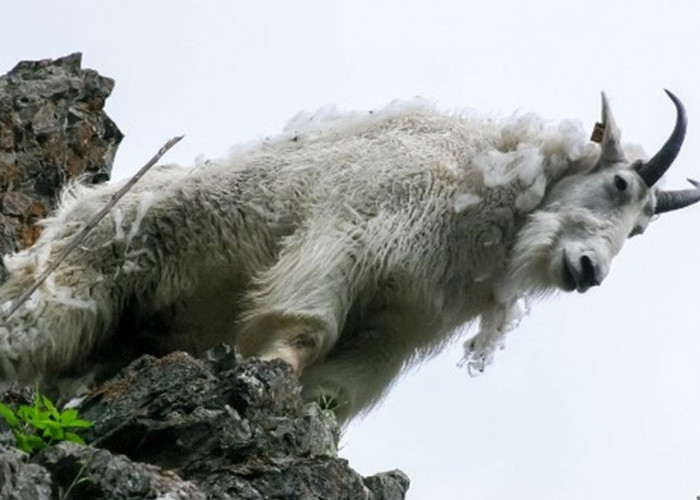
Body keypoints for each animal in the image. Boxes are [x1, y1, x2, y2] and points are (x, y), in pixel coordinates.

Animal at [1, 91, 700, 422]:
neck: (481, 184)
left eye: (641, 229)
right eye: (619, 183)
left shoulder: (396, 326)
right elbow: (302, 332)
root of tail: (72, 210)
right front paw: (267, 376)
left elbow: (336, 395)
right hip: (76, 280)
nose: (589, 272)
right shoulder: (343, 237)